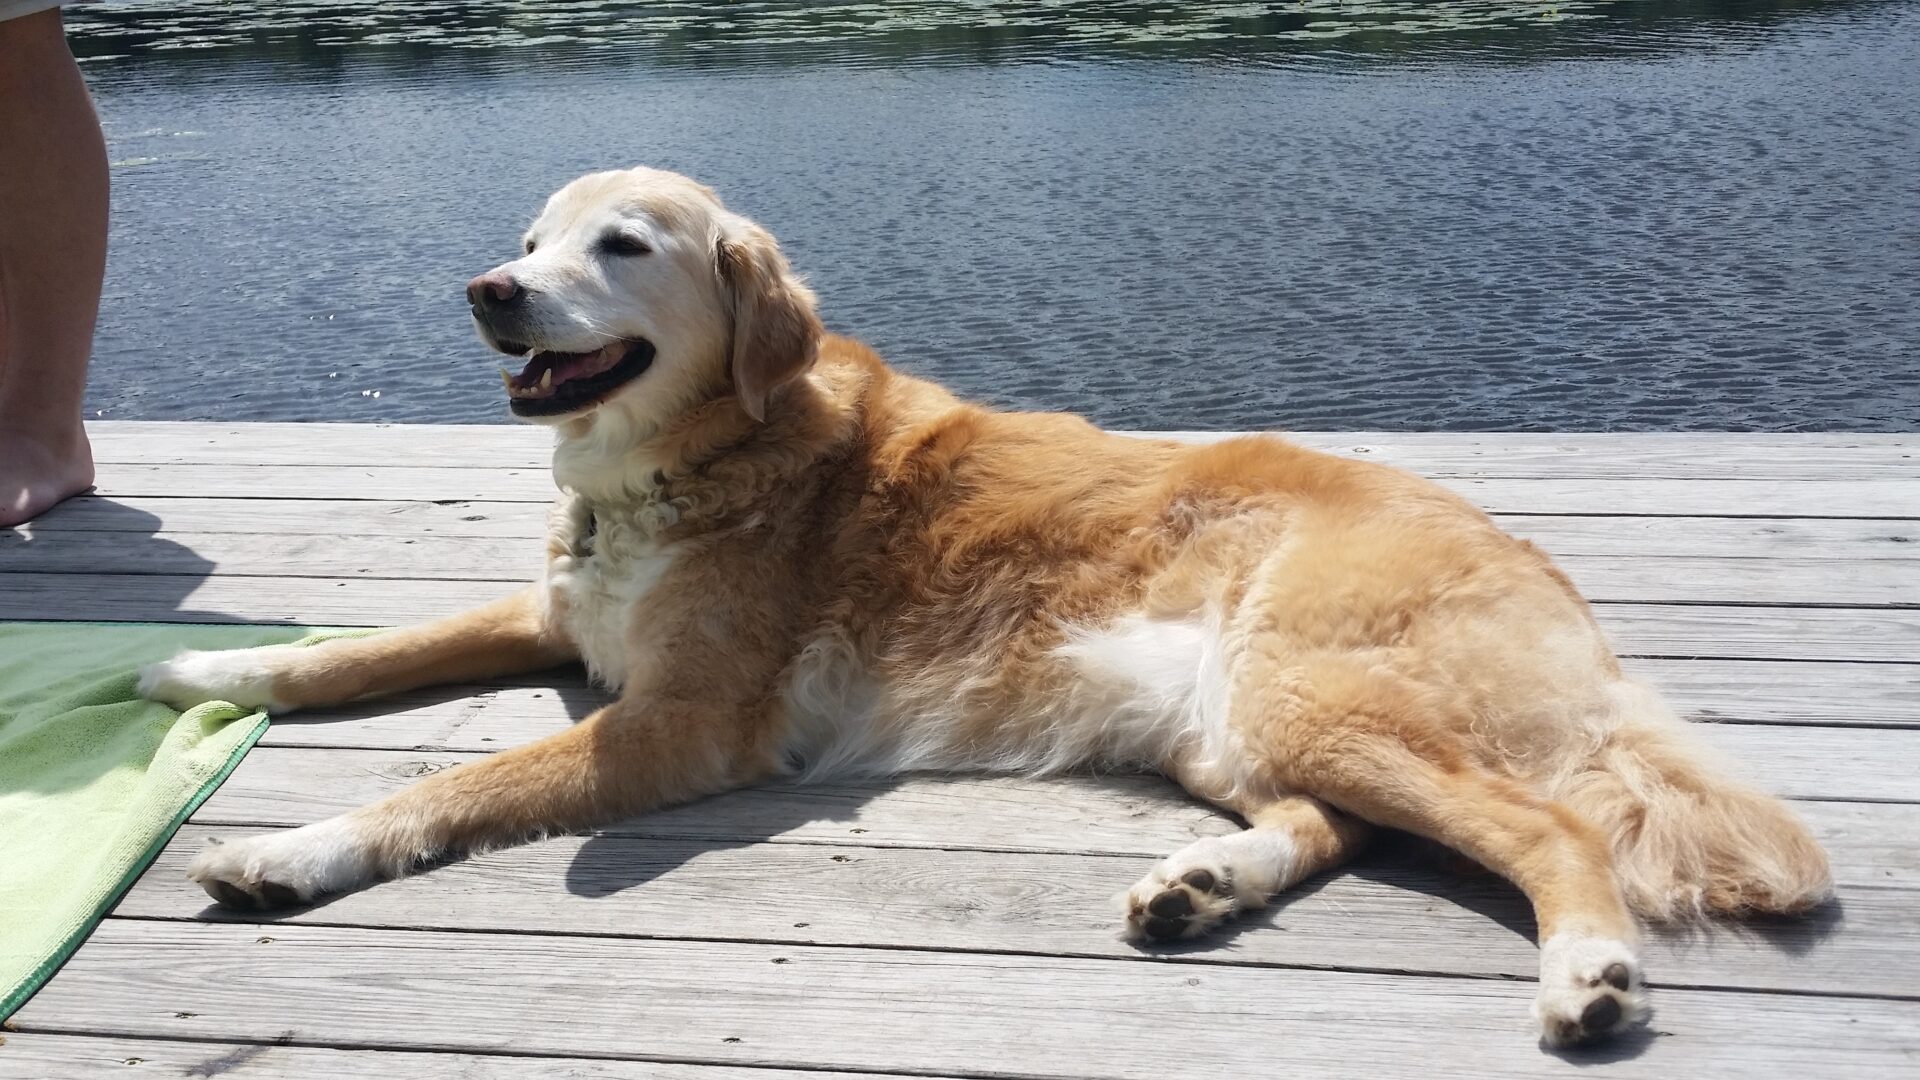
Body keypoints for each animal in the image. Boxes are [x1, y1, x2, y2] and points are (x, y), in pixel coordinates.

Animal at [139, 166, 1827, 1045]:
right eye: (535, 236)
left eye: (622, 245)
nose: (489, 288)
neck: (684, 460)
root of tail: (1530, 556)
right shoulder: (562, 618)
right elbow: (369, 648)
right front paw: (205, 683)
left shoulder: (683, 723)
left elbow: (450, 780)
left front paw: (291, 848)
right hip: (1236, 724)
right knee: (1335, 824)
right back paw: (1201, 886)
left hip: (1305, 690)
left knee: (1550, 829)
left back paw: (1588, 972)